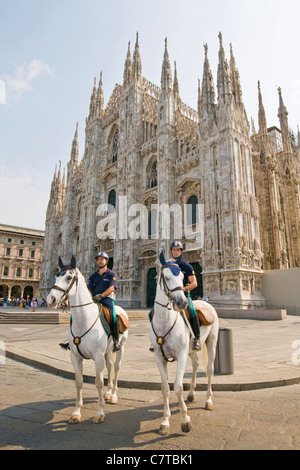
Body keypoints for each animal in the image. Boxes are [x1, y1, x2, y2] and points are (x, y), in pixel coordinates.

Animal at [46, 258, 128, 426]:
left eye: (70, 277)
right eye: (56, 276)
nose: (50, 300)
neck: (84, 319)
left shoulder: (97, 356)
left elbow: (98, 382)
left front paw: (100, 413)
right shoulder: (75, 356)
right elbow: (79, 381)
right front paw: (76, 413)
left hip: (120, 347)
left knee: (116, 368)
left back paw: (113, 395)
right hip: (107, 351)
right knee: (110, 367)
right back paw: (108, 393)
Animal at [149, 253, 218, 436]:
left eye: (181, 276)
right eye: (165, 277)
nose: (182, 303)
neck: (165, 321)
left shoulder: (180, 355)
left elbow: (178, 387)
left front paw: (185, 420)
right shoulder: (159, 357)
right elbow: (165, 388)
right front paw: (165, 422)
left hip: (212, 341)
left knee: (209, 369)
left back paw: (208, 401)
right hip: (191, 350)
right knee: (196, 364)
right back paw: (191, 394)